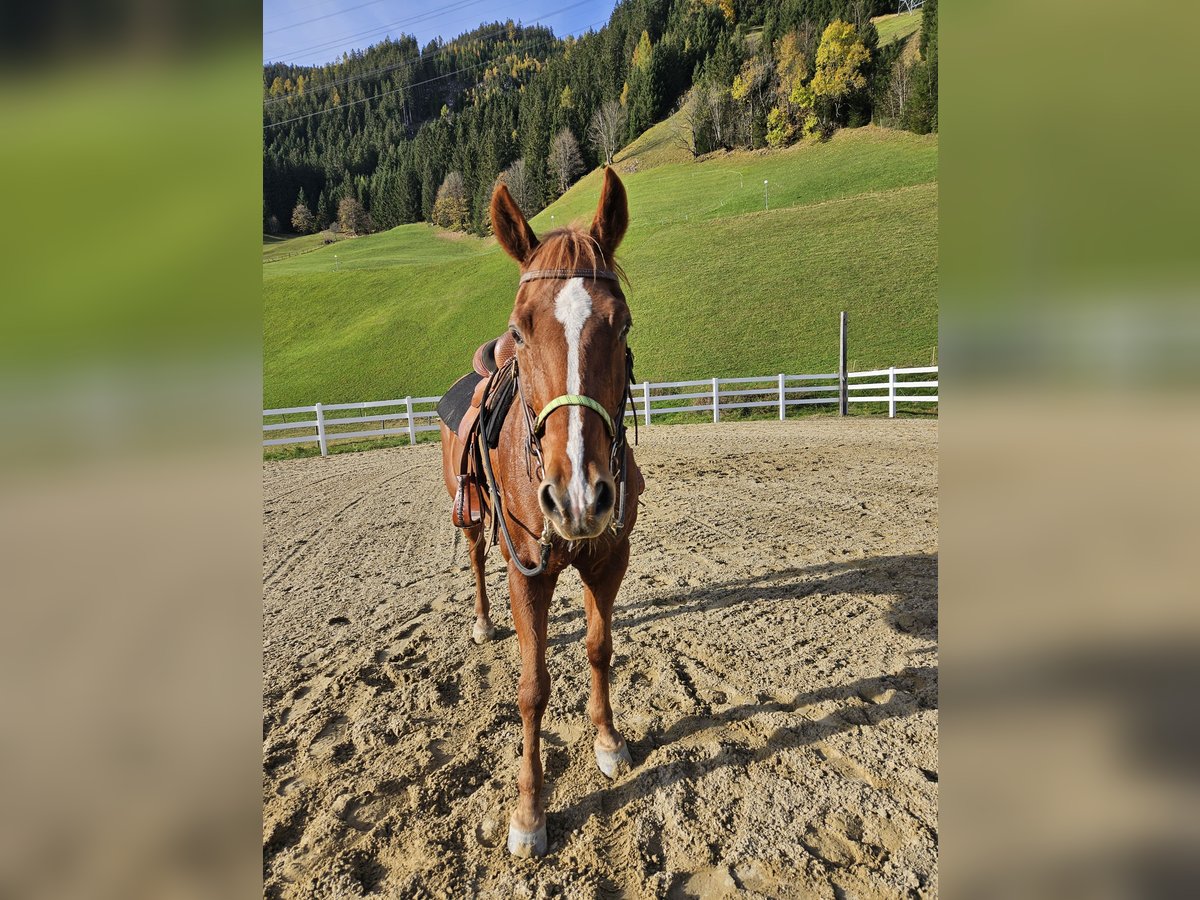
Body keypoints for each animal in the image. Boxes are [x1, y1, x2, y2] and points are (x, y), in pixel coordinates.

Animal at [441, 169, 643, 859]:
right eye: (523, 329)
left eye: (622, 325)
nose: (579, 495)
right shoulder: (526, 575)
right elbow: (532, 690)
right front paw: (529, 811)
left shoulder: (609, 559)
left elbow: (599, 648)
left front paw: (607, 740)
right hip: (474, 522)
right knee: (476, 561)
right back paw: (481, 622)